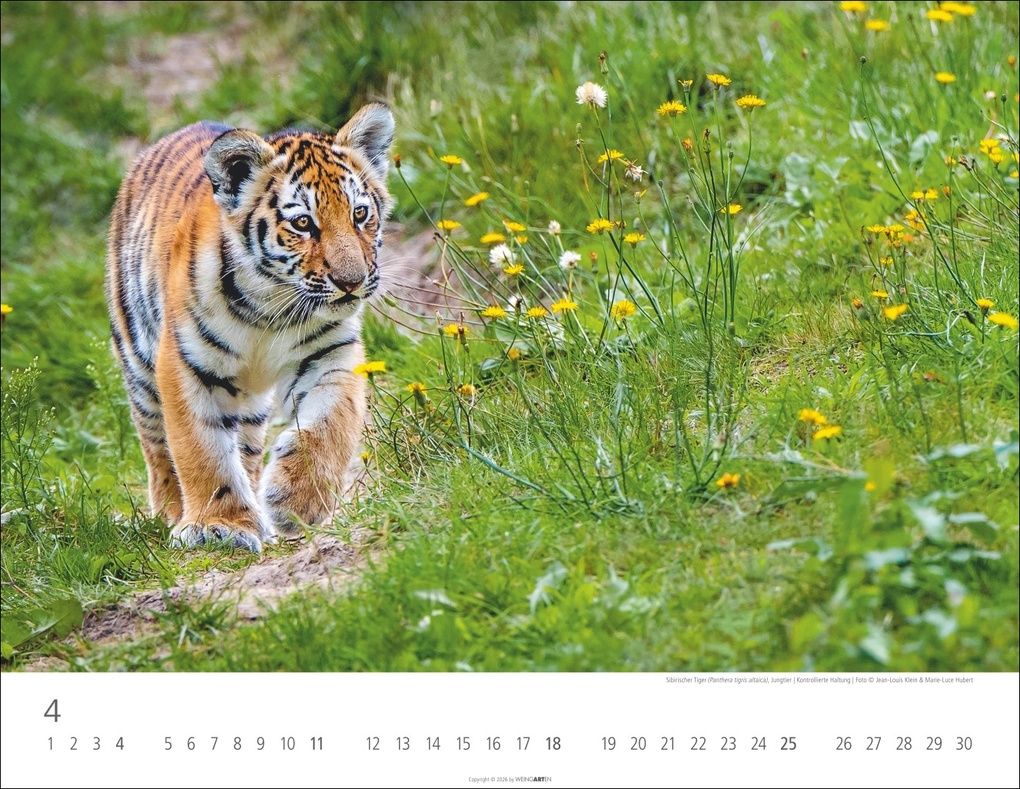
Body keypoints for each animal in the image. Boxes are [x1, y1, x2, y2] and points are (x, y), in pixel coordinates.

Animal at [105, 103, 395, 554]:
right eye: (303, 224)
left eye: (359, 214)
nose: (352, 281)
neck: (271, 306)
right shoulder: (186, 363)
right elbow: (199, 448)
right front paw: (217, 525)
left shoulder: (330, 352)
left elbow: (331, 425)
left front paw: (297, 502)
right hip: (139, 365)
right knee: (156, 444)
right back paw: (172, 510)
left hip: (250, 402)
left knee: (245, 445)